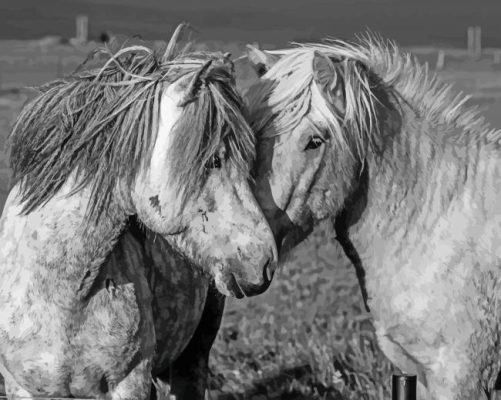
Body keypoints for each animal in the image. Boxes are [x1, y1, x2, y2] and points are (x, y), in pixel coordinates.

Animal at [0, 25, 278, 400]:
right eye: (213, 160)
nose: (264, 262)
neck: (62, 294)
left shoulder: (130, 382)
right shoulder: (23, 388)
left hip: (194, 356)